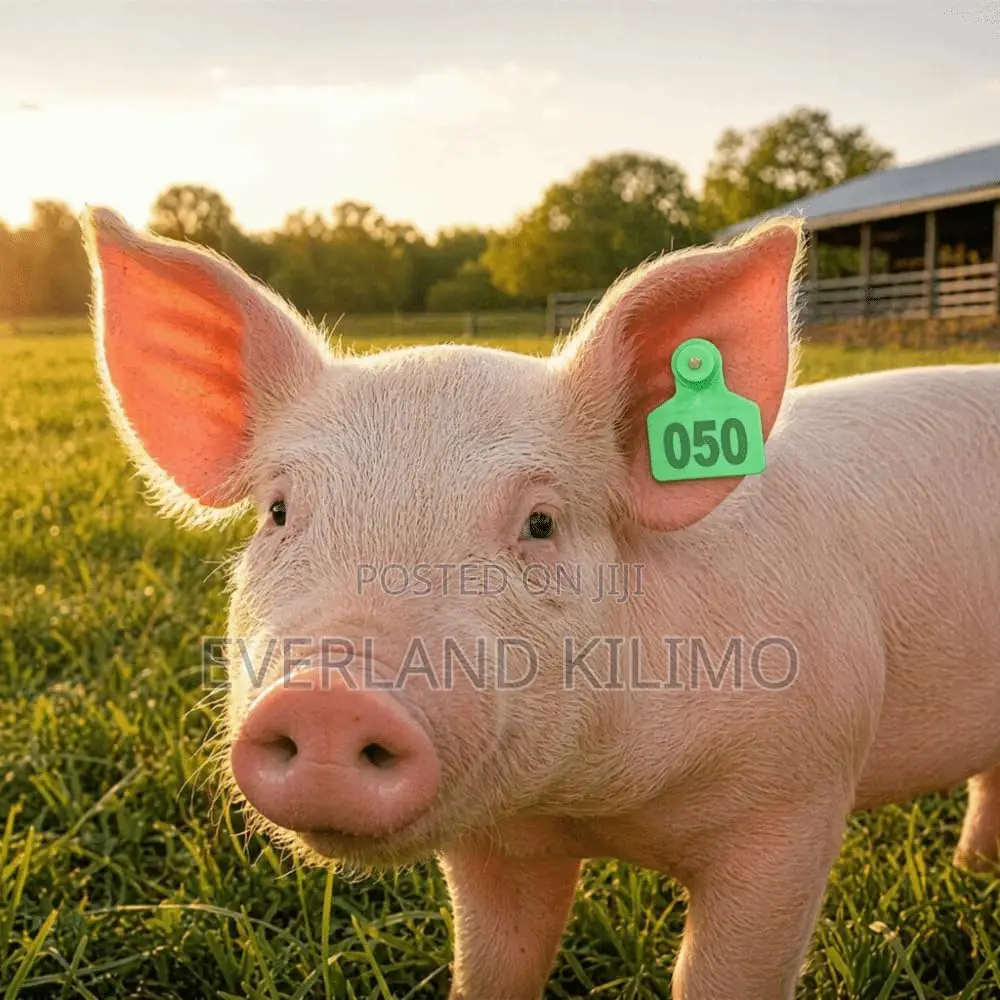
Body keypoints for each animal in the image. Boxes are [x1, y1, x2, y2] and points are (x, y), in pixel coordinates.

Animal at [82, 205, 1000, 1000]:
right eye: (278, 512)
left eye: (540, 523)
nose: (330, 695)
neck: (587, 802)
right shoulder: (498, 847)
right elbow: (495, 968)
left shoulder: (795, 804)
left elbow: (721, 976)